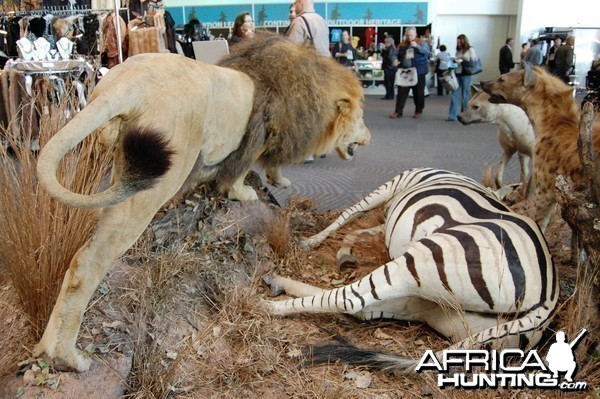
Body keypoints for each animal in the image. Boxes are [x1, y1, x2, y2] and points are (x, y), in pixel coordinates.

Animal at [35, 33, 370, 372]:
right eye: (360, 120)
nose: (368, 138)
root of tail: (128, 83)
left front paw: (276, 181)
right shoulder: (259, 137)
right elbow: (237, 176)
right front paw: (246, 192)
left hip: (107, 161)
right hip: (156, 173)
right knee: (87, 263)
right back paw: (66, 356)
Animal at [262, 167, 556, 374]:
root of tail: (547, 301)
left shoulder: (395, 183)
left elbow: (350, 215)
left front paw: (311, 241)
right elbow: (363, 231)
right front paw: (344, 253)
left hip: (423, 260)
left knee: (351, 298)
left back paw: (266, 304)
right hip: (436, 308)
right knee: (364, 309)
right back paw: (278, 283)